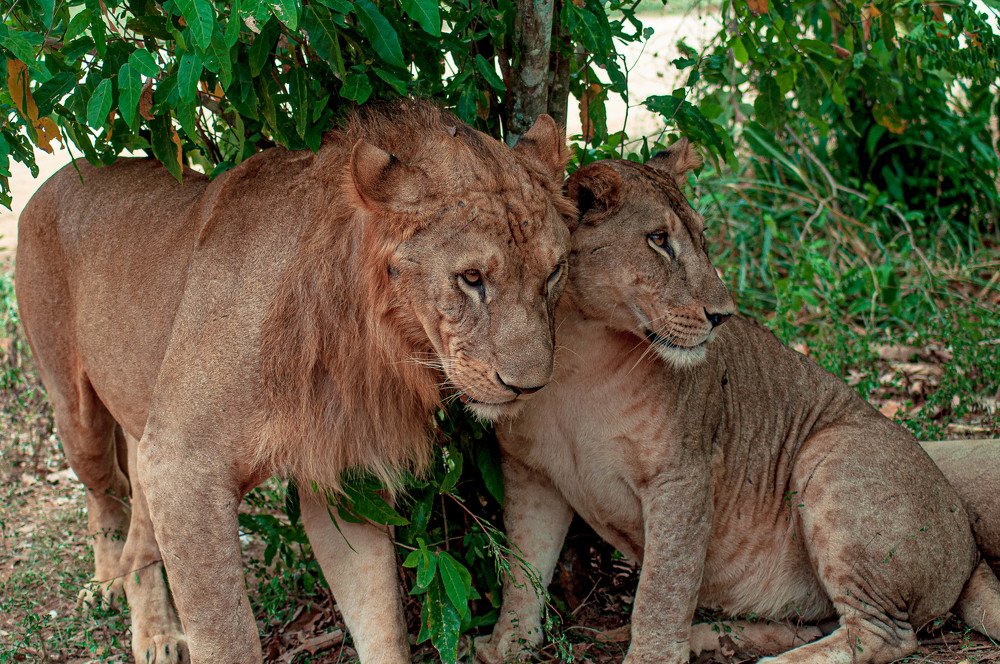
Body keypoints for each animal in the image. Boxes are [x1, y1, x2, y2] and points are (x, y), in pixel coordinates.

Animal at [16, 100, 573, 663]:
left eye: (554, 272)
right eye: (471, 278)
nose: (529, 386)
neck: (369, 329)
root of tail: (52, 181)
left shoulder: (344, 472)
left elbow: (379, 614)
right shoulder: (181, 464)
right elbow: (227, 635)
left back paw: (154, 631)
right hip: (74, 408)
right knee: (107, 492)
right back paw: (112, 590)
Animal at [475, 145, 1000, 663]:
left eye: (702, 239)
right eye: (659, 240)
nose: (723, 315)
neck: (579, 353)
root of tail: (973, 555)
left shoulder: (682, 475)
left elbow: (663, 588)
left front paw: (651, 656)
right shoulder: (530, 472)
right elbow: (522, 570)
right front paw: (507, 645)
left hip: (830, 457)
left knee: (884, 634)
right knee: (819, 624)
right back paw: (715, 638)